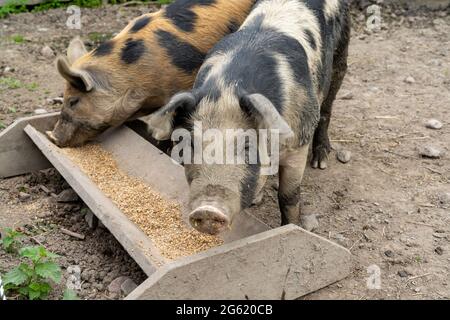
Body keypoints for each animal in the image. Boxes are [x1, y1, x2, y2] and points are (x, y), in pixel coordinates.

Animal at [146, 0, 350, 235]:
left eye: (247, 146)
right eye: (191, 145)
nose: (207, 210)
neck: (227, 87)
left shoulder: (298, 142)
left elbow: (288, 196)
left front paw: (291, 227)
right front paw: (256, 200)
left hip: (340, 56)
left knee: (327, 108)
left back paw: (320, 161)